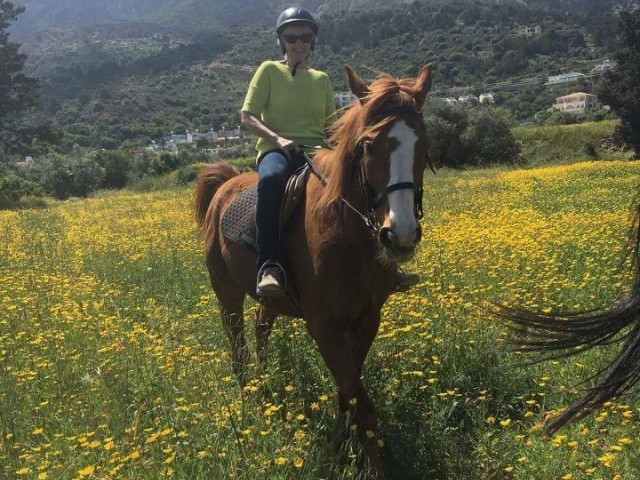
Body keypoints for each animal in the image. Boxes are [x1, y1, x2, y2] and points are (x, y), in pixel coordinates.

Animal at [192, 62, 432, 476]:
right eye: (369, 145)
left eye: (423, 143)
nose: (399, 235)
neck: (346, 233)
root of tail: (225, 184)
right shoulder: (324, 325)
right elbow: (362, 405)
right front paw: (370, 466)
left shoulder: (366, 320)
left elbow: (347, 395)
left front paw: (339, 446)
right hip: (226, 294)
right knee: (237, 344)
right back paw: (249, 401)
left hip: (268, 300)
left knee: (261, 327)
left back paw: (266, 386)